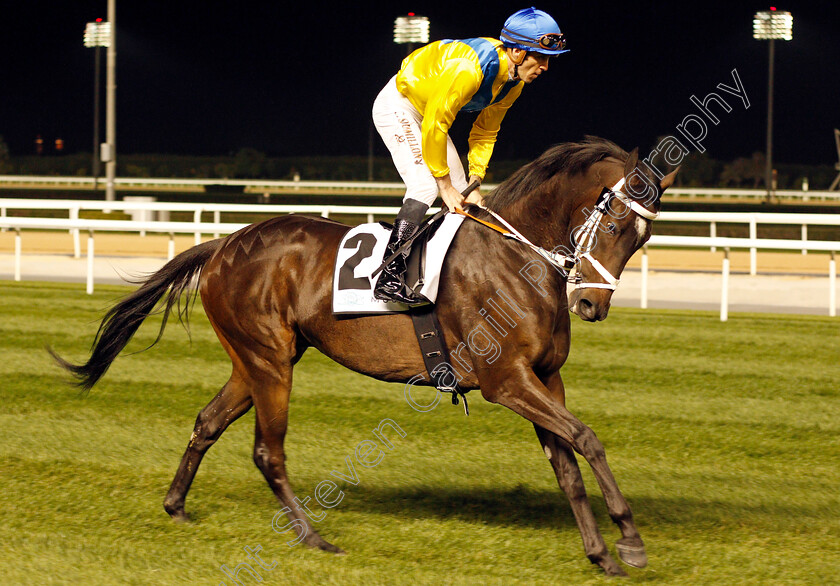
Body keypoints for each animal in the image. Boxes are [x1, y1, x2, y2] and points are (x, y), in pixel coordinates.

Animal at [52, 137, 680, 576]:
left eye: (644, 238)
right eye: (616, 223)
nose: (591, 303)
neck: (515, 259)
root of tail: (225, 243)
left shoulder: (545, 378)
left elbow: (567, 463)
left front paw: (601, 553)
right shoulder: (506, 381)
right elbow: (587, 439)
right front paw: (630, 539)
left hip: (253, 361)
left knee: (208, 422)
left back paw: (177, 505)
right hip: (269, 361)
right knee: (267, 451)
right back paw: (313, 537)